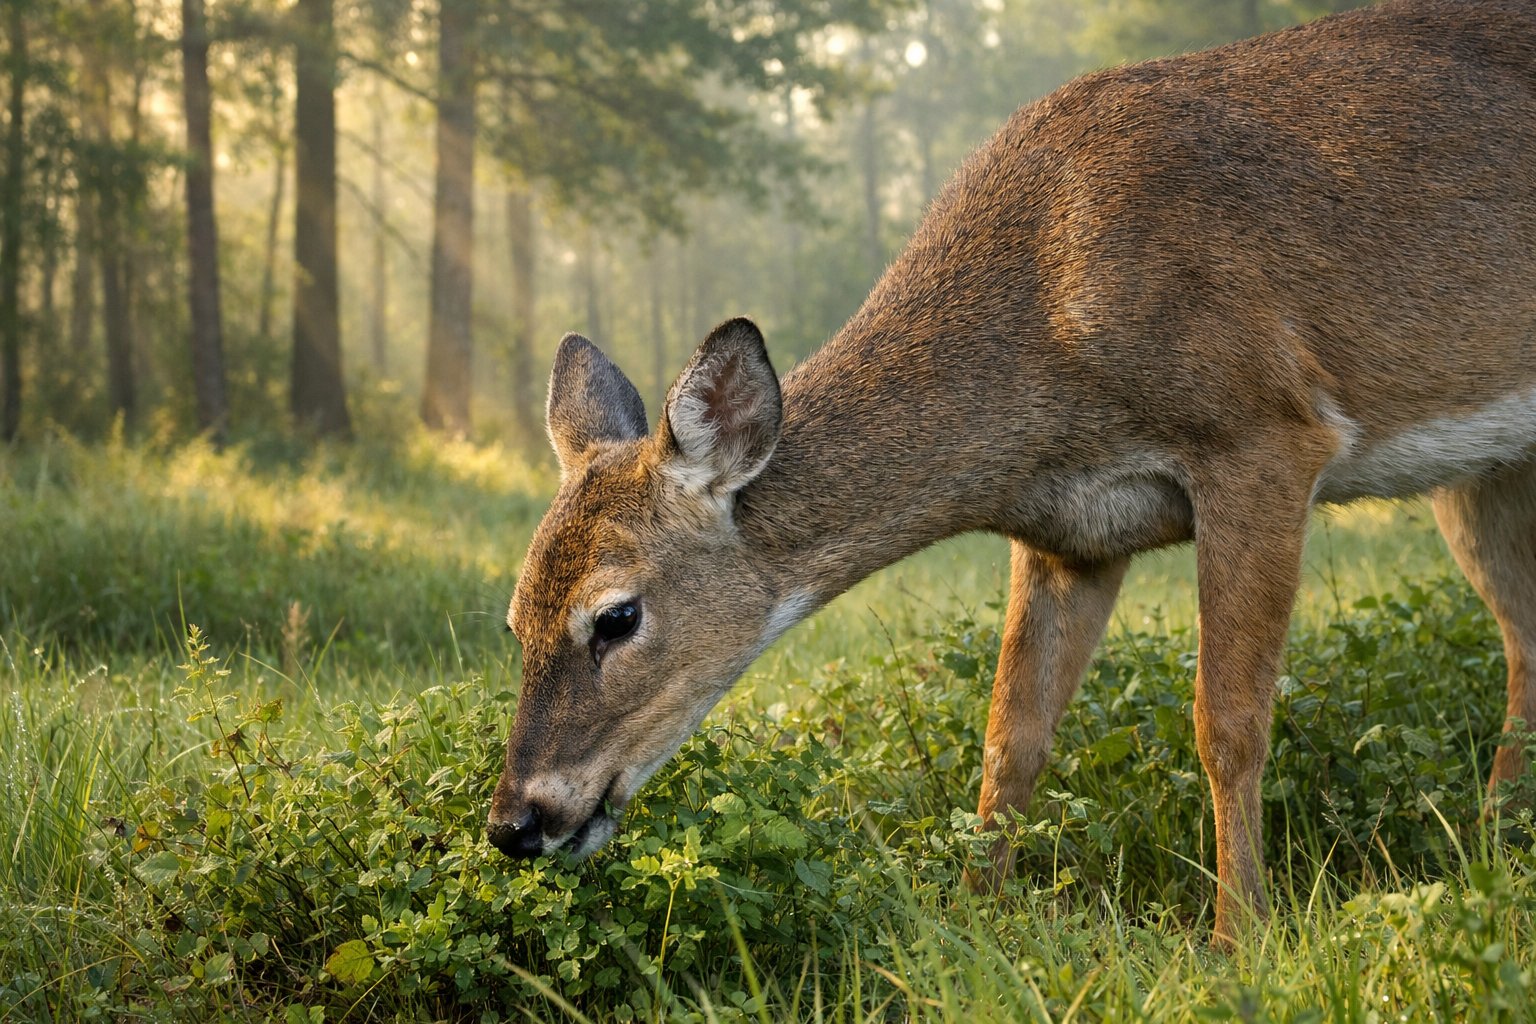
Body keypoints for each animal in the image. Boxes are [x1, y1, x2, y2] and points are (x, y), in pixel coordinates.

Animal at [488, 0, 1536, 943]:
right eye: (515, 619)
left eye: (615, 616)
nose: (514, 821)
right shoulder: (1071, 531)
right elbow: (1009, 739)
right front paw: (974, 916)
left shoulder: (1262, 432)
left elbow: (1229, 722)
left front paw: (1242, 939)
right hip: (1487, 469)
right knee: (1524, 639)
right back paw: (1494, 855)